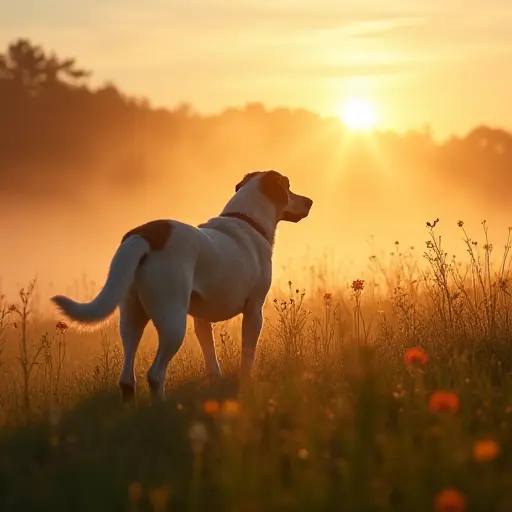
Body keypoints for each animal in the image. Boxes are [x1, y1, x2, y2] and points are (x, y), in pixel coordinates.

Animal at [52, 170, 312, 402]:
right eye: (288, 187)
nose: (310, 201)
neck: (246, 218)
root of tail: (145, 234)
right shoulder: (254, 310)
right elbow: (247, 356)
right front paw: (246, 384)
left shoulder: (201, 319)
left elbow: (210, 356)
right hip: (173, 323)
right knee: (155, 375)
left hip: (131, 317)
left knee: (126, 379)